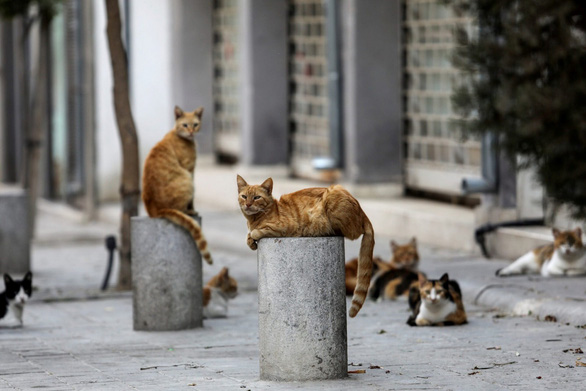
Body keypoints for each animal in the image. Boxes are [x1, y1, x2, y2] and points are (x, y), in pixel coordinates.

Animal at [141, 105, 212, 264]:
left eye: (195, 124)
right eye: (185, 125)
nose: (191, 131)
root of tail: (154, 210)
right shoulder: (190, 170)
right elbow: (192, 200)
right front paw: (192, 209)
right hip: (186, 179)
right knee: (181, 208)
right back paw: (188, 212)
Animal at [237, 175, 374, 318]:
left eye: (256, 197)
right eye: (244, 196)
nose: (248, 204)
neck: (254, 220)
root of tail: (363, 214)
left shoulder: (284, 227)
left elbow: (256, 232)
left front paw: (254, 236)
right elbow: (249, 236)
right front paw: (251, 242)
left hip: (333, 197)